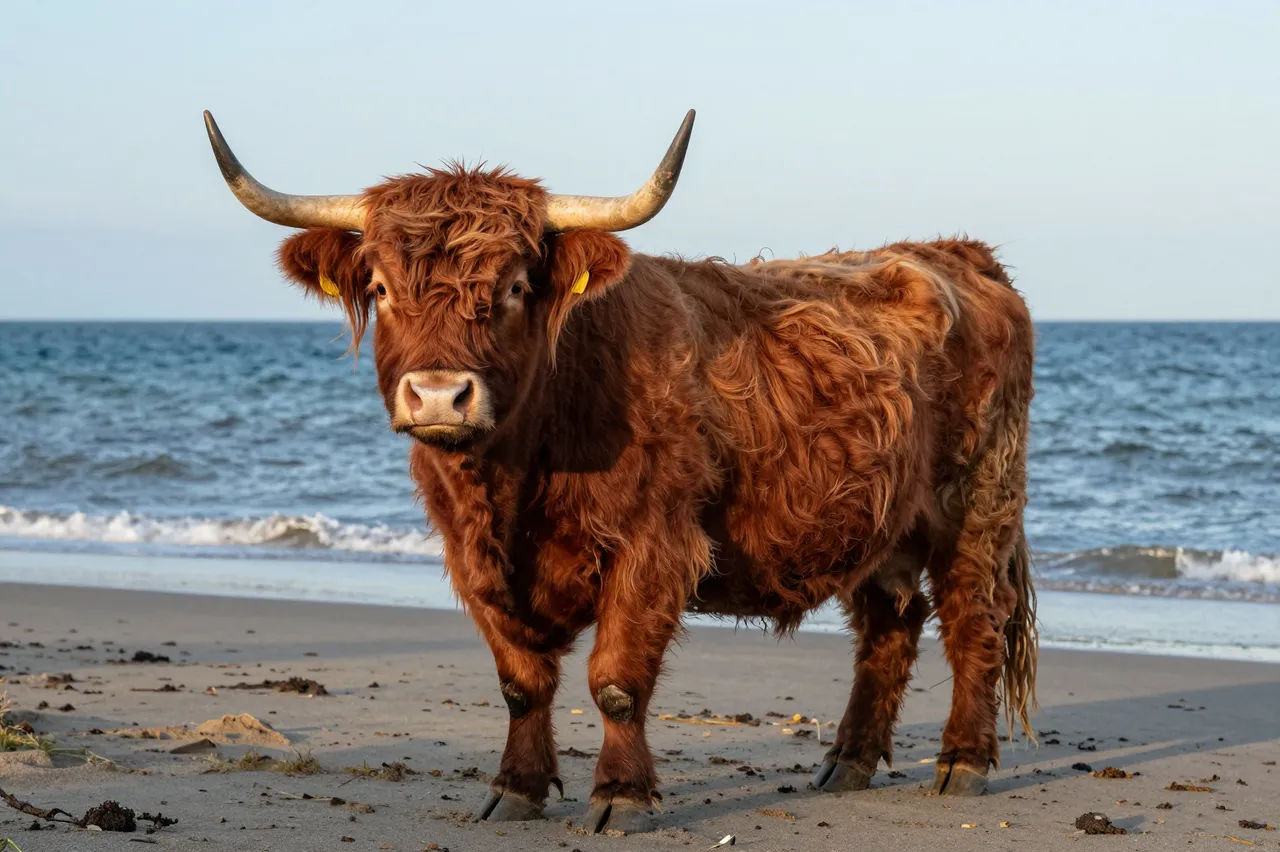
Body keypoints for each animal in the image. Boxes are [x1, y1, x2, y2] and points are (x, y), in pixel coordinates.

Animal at [203, 108, 1038, 834]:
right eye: (379, 287)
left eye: (515, 286)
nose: (439, 394)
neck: (515, 475)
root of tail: (953, 252)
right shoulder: (470, 560)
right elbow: (520, 682)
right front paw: (515, 790)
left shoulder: (653, 543)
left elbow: (616, 681)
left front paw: (621, 797)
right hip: (880, 519)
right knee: (891, 621)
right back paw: (848, 762)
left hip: (978, 498)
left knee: (972, 617)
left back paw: (963, 762)